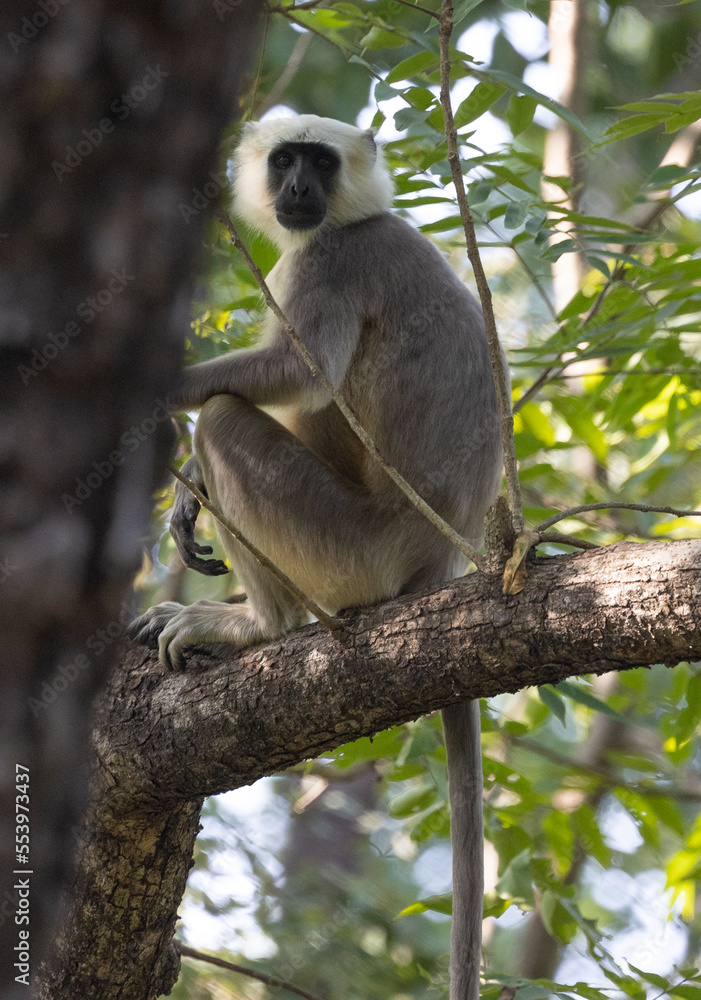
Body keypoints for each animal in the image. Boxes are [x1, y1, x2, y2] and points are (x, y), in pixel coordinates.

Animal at [129, 115, 503, 1000]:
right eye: (284, 161)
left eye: (320, 163)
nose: (298, 188)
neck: (356, 217)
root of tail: (439, 564)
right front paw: (186, 497)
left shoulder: (333, 260)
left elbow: (295, 373)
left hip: (346, 551)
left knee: (225, 416)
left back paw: (258, 627)